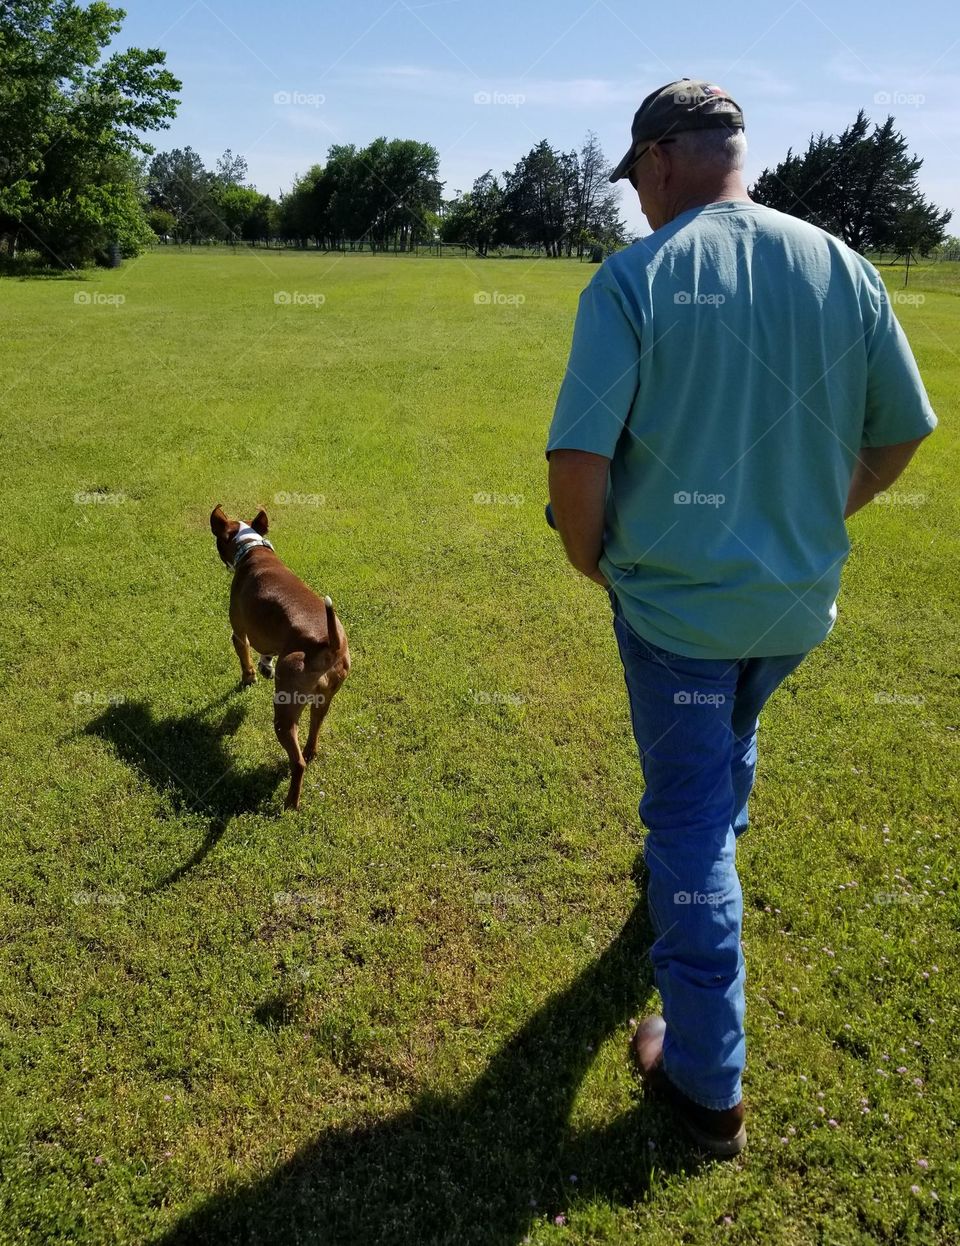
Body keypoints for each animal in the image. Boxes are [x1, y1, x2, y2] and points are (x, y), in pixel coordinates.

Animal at [206, 500, 349, 812]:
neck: (252, 549)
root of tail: (329, 643)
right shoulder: (272, 639)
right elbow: (266, 653)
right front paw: (265, 667)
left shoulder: (240, 633)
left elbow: (244, 657)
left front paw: (249, 678)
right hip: (323, 701)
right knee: (314, 732)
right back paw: (310, 751)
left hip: (284, 715)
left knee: (297, 764)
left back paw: (290, 803)